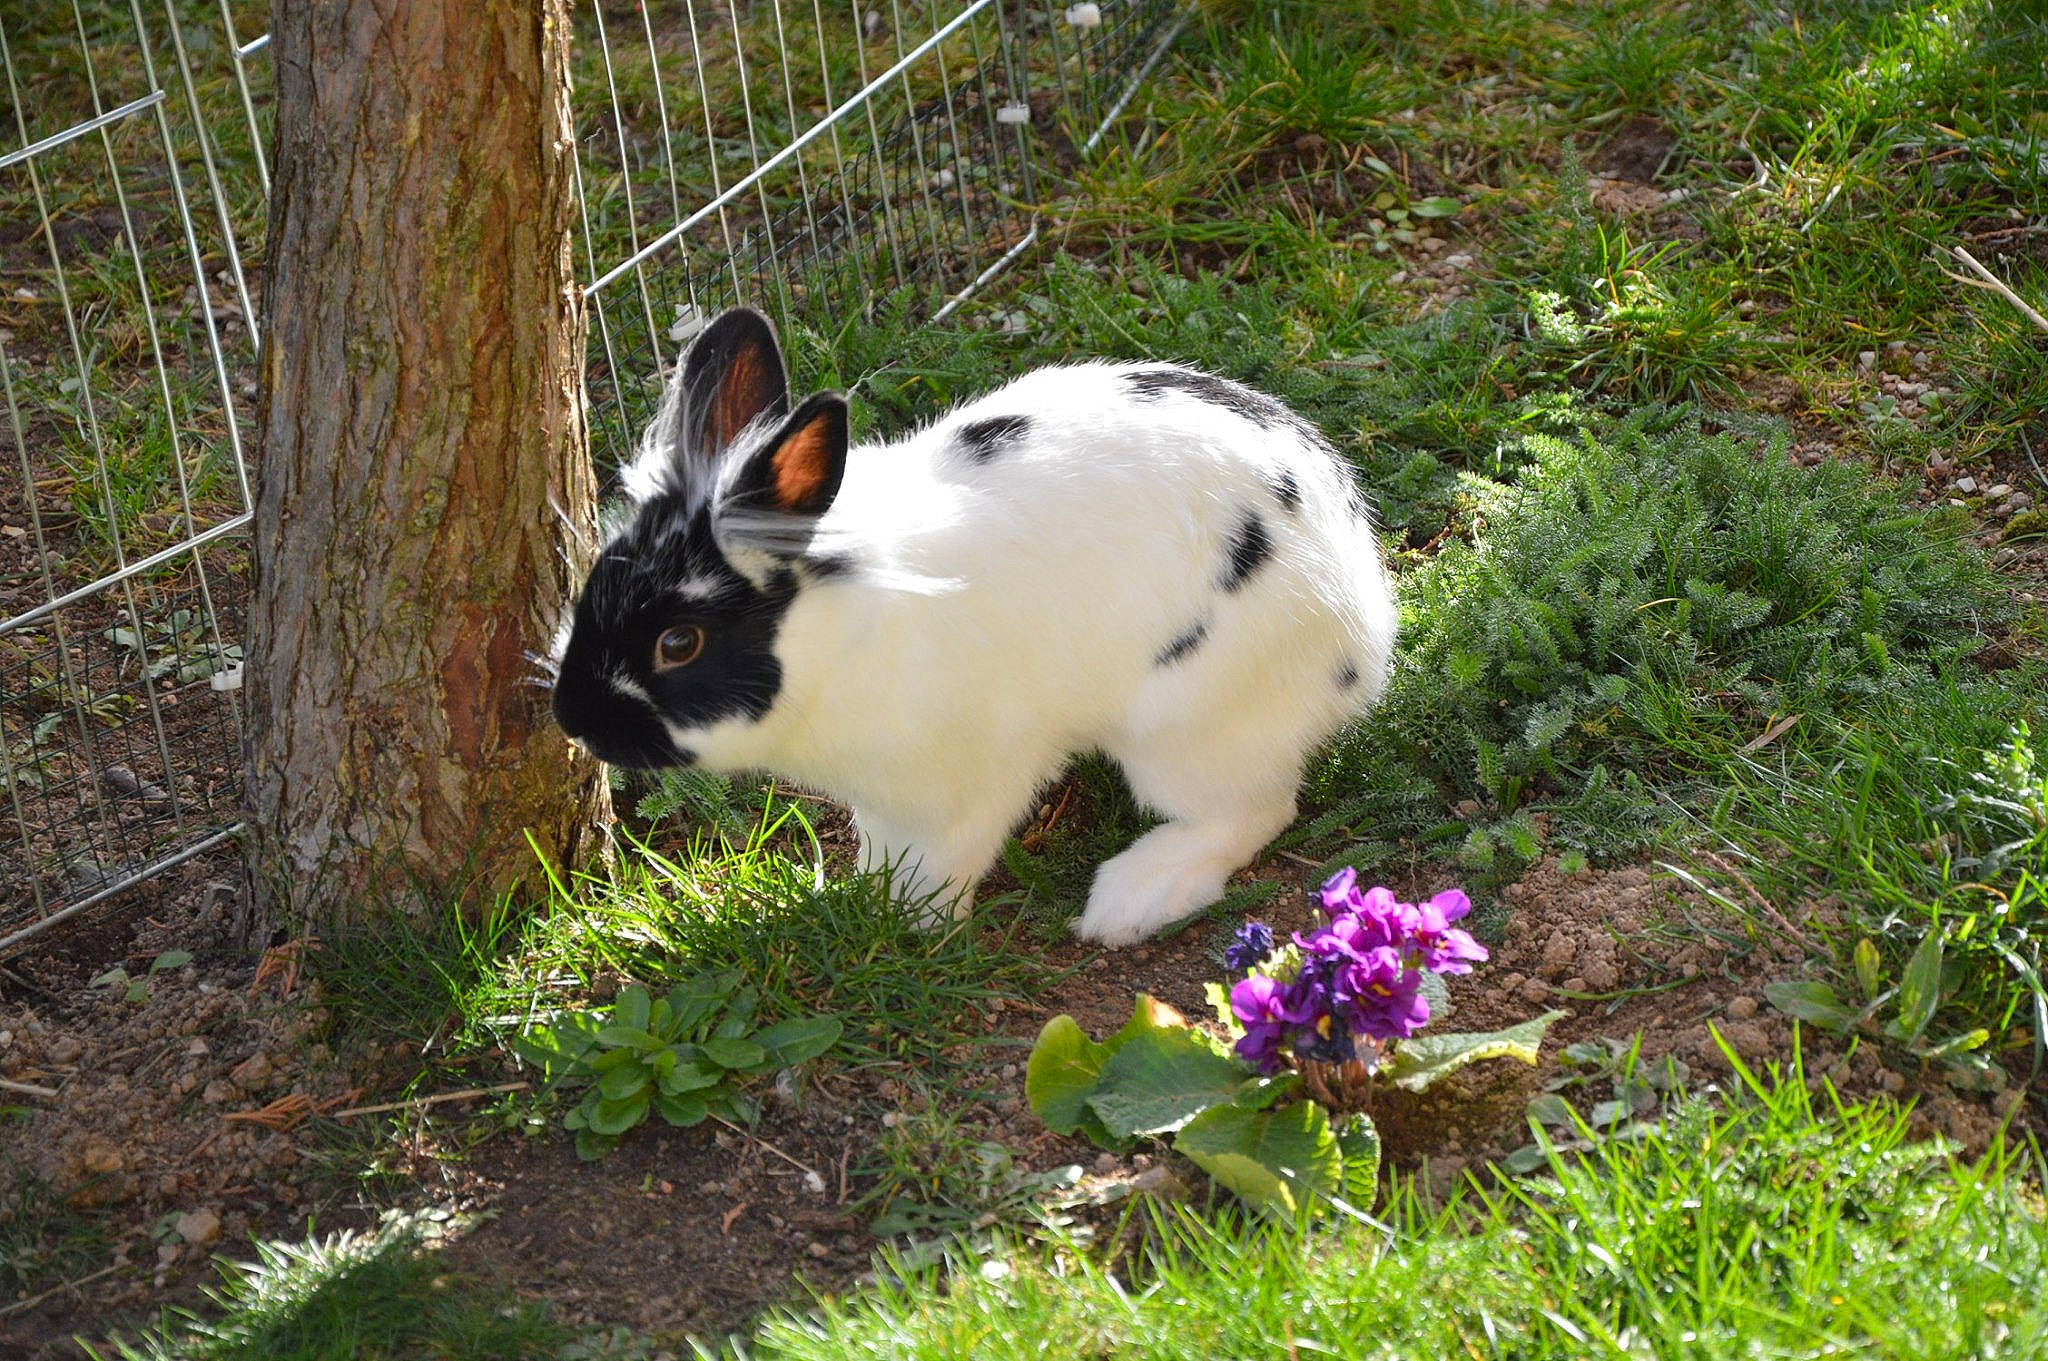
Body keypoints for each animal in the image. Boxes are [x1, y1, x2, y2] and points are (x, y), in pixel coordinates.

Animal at [551, 307, 1396, 945]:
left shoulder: (973, 780)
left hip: (1187, 728)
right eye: (590, 587)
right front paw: (867, 895)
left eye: (678, 643)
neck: (841, 633)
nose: (573, 718)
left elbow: (946, 860)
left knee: (1251, 810)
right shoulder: (882, 800)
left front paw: (910, 923)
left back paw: (1130, 898)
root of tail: (1363, 616)